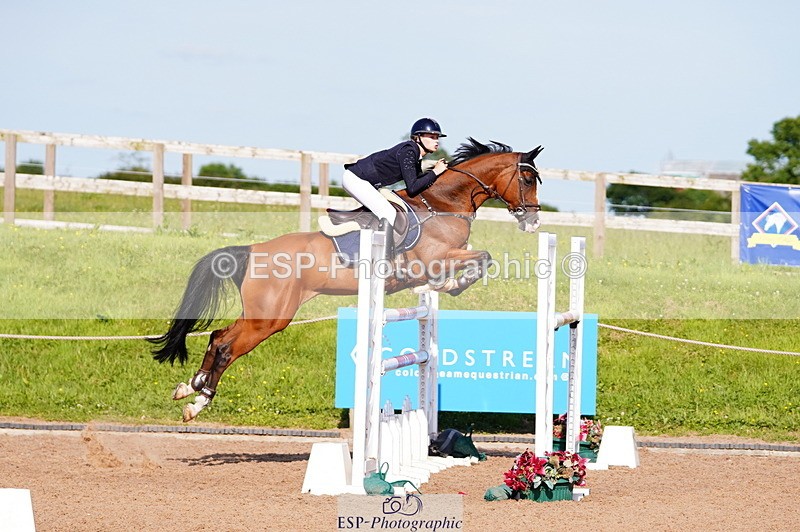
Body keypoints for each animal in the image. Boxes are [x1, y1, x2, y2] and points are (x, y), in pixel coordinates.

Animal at [150, 138, 544, 421]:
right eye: (527, 179)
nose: (534, 221)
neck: (442, 204)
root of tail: (253, 249)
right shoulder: (435, 260)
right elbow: (482, 258)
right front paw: (454, 285)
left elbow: (478, 259)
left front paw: (447, 286)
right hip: (271, 318)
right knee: (228, 348)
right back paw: (198, 403)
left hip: (260, 314)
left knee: (218, 338)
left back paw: (189, 388)